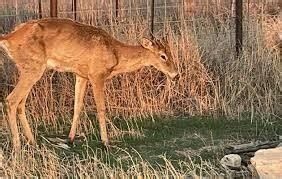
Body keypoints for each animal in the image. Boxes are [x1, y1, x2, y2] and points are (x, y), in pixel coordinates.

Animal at [0, 17, 180, 151]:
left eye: (171, 53)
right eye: (163, 55)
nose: (176, 75)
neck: (115, 54)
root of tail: (8, 38)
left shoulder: (81, 75)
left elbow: (77, 105)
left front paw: (71, 138)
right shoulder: (96, 75)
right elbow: (101, 108)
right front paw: (106, 143)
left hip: (31, 69)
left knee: (20, 103)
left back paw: (33, 142)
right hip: (33, 67)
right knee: (11, 100)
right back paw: (17, 147)